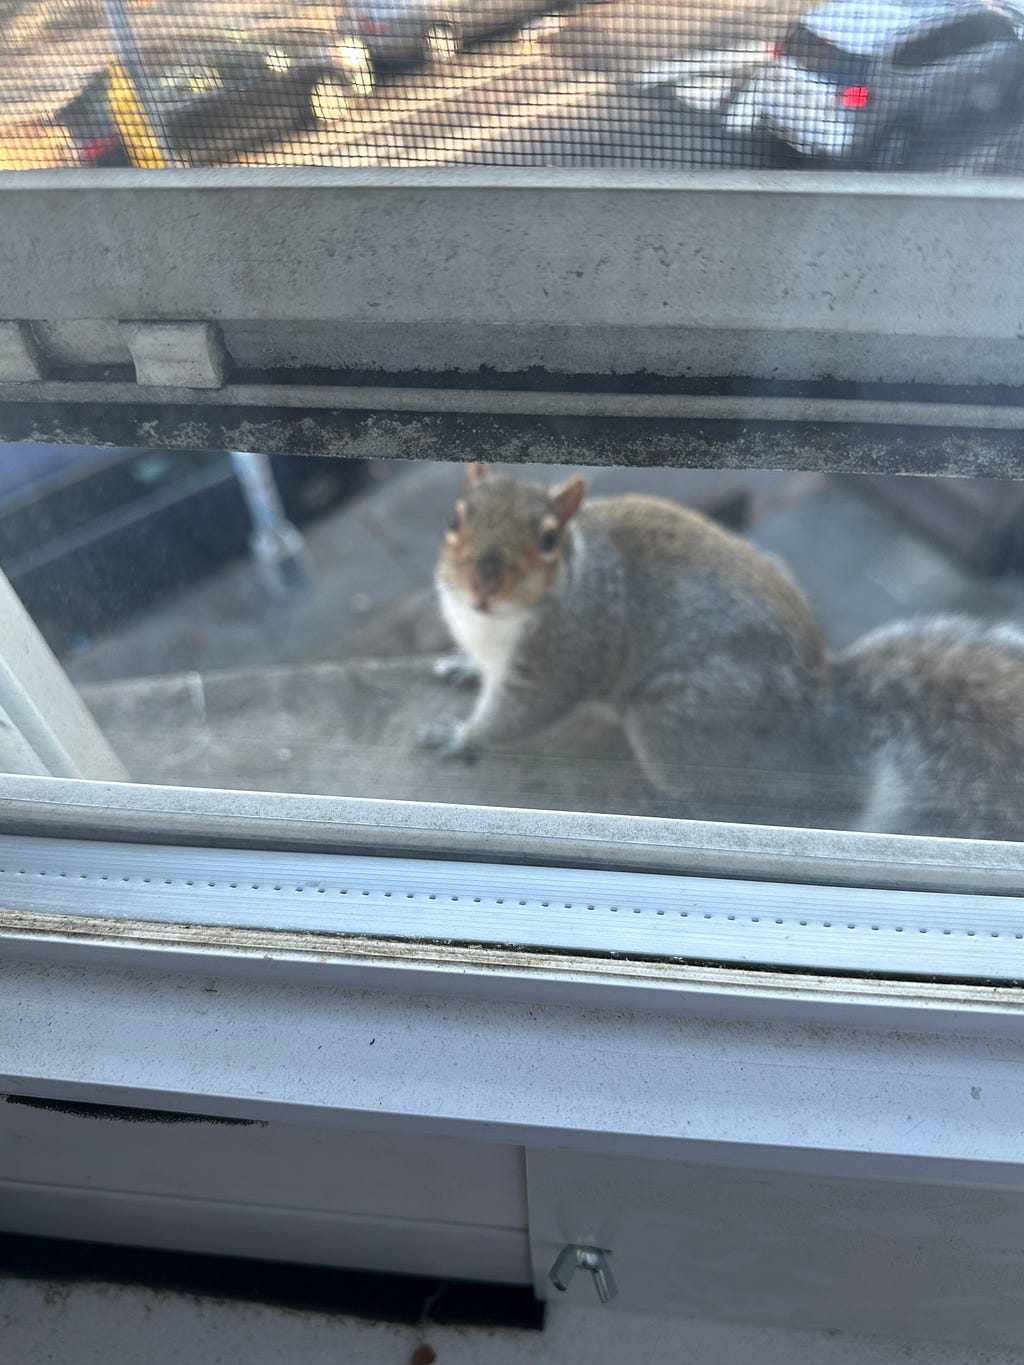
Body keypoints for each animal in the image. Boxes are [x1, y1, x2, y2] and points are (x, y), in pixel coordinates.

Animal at [423, 458, 835, 824]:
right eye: (454, 520)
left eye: (549, 540)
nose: (484, 584)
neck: (489, 622)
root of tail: (818, 712)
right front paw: (464, 664)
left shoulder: (564, 654)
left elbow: (515, 715)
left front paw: (460, 735)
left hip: (681, 718)